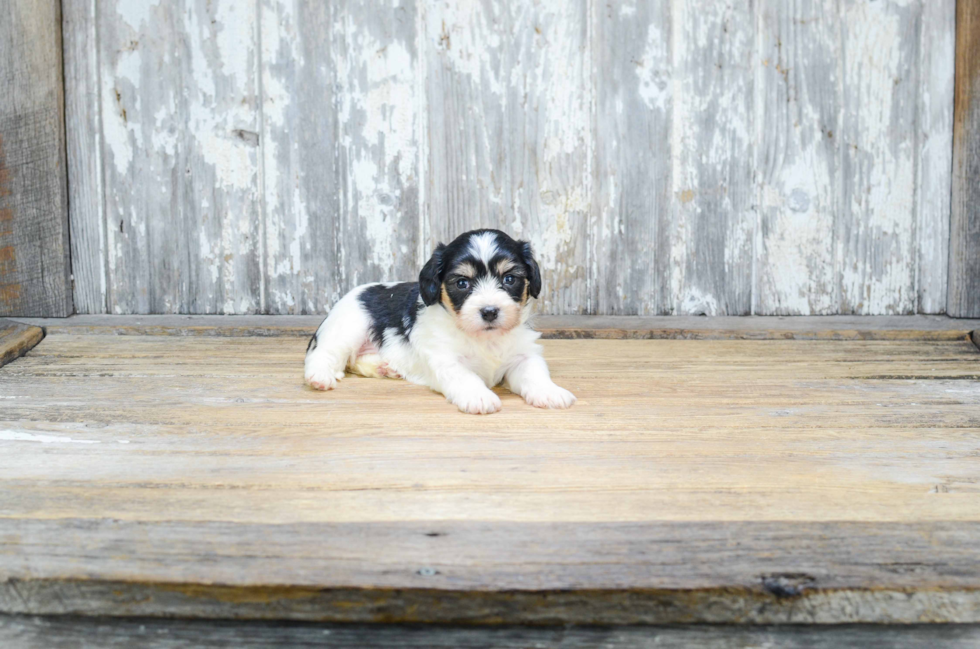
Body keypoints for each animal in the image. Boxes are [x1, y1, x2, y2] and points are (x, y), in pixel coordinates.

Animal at [304, 230, 576, 412]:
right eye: (462, 283)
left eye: (509, 279)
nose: (489, 311)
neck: (484, 338)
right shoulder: (445, 359)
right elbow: (465, 376)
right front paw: (479, 396)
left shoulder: (523, 356)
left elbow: (535, 373)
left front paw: (550, 392)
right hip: (347, 328)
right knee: (325, 354)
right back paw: (320, 377)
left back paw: (385, 367)